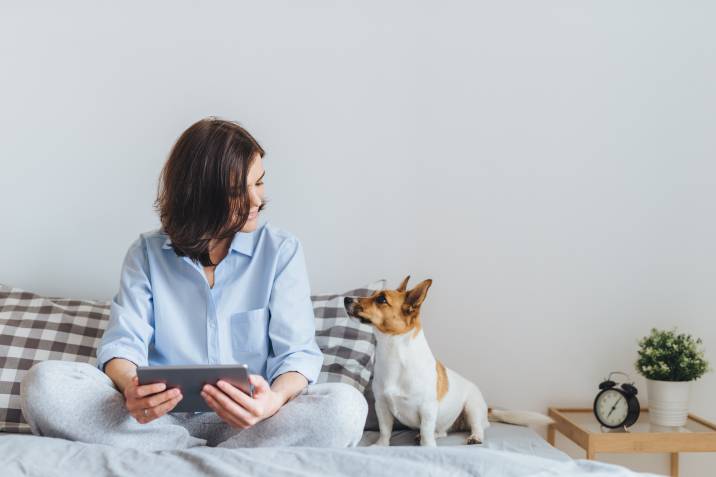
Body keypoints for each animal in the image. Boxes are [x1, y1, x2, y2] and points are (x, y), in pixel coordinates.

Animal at [346, 276, 552, 446]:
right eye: (372, 294)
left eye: (381, 299)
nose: (346, 299)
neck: (393, 352)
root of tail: (486, 409)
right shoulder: (381, 406)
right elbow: (385, 431)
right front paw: (381, 445)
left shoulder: (427, 409)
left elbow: (426, 432)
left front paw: (427, 447)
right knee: (442, 432)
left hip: (472, 407)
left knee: (477, 427)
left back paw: (475, 437)